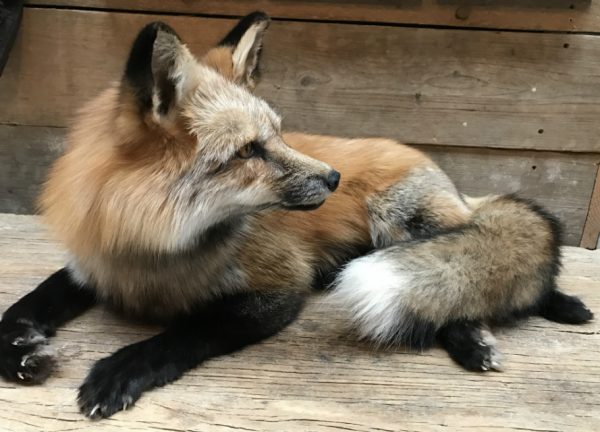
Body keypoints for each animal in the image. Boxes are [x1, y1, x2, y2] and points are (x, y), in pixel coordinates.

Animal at [0, 12, 592, 418]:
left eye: (280, 136)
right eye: (249, 151)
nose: (333, 179)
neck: (153, 253)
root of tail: (432, 165)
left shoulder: (278, 290)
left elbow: (186, 332)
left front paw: (122, 368)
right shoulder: (93, 263)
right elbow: (24, 306)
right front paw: (19, 352)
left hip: (402, 223)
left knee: (472, 277)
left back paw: (530, 316)